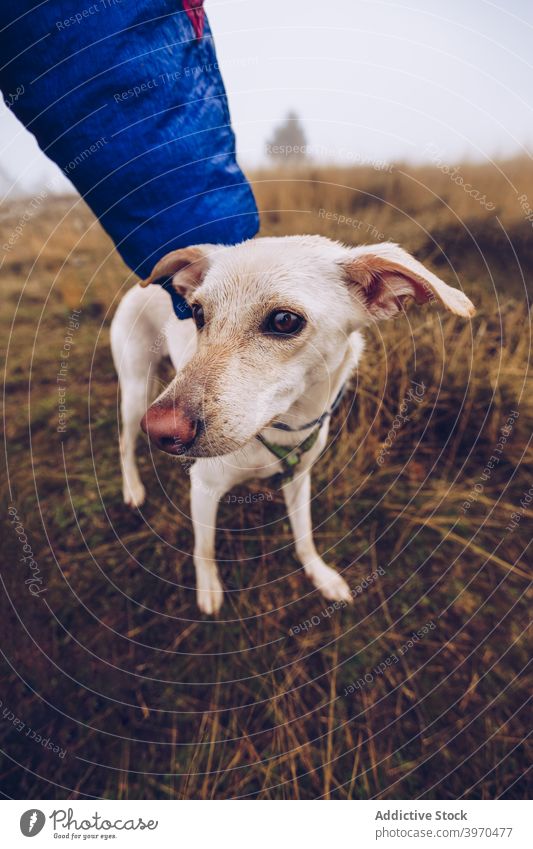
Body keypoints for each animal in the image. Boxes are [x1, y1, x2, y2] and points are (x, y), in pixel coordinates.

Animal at [111, 235, 474, 612]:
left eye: (284, 320)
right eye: (198, 314)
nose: (162, 431)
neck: (283, 426)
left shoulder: (300, 479)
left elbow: (304, 537)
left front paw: (320, 574)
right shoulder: (204, 487)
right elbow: (205, 547)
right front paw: (208, 587)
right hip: (137, 391)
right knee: (124, 442)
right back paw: (133, 488)